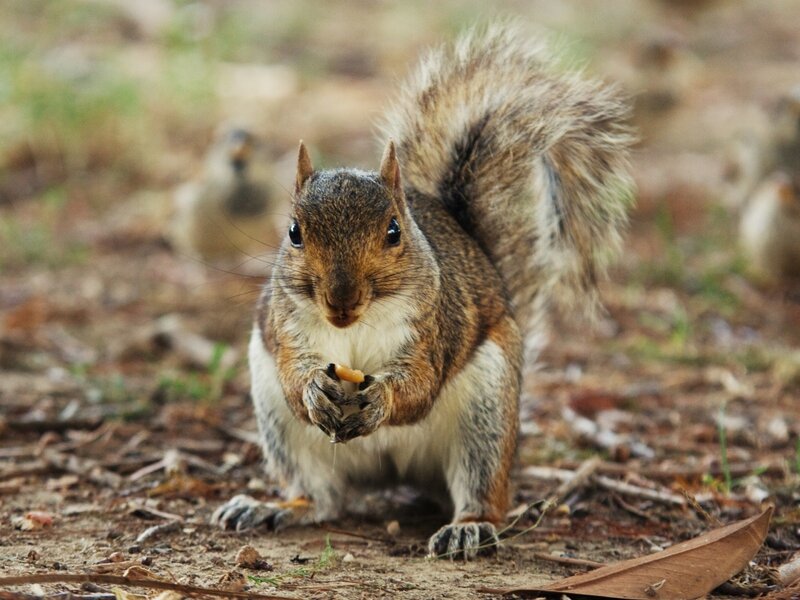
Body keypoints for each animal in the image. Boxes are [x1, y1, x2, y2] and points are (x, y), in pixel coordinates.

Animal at [212, 23, 633, 559]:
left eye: (394, 231)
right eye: (293, 231)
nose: (341, 301)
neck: (356, 327)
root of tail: (395, 472)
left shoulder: (435, 326)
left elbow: (420, 384)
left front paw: (383, 398)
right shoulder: (285, 326)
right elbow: (293, 374)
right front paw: (312, 390)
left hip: (488, 414)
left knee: (482, 488)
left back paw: (469, 526)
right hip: (281, 427)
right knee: (322, 496)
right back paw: (277, 507)